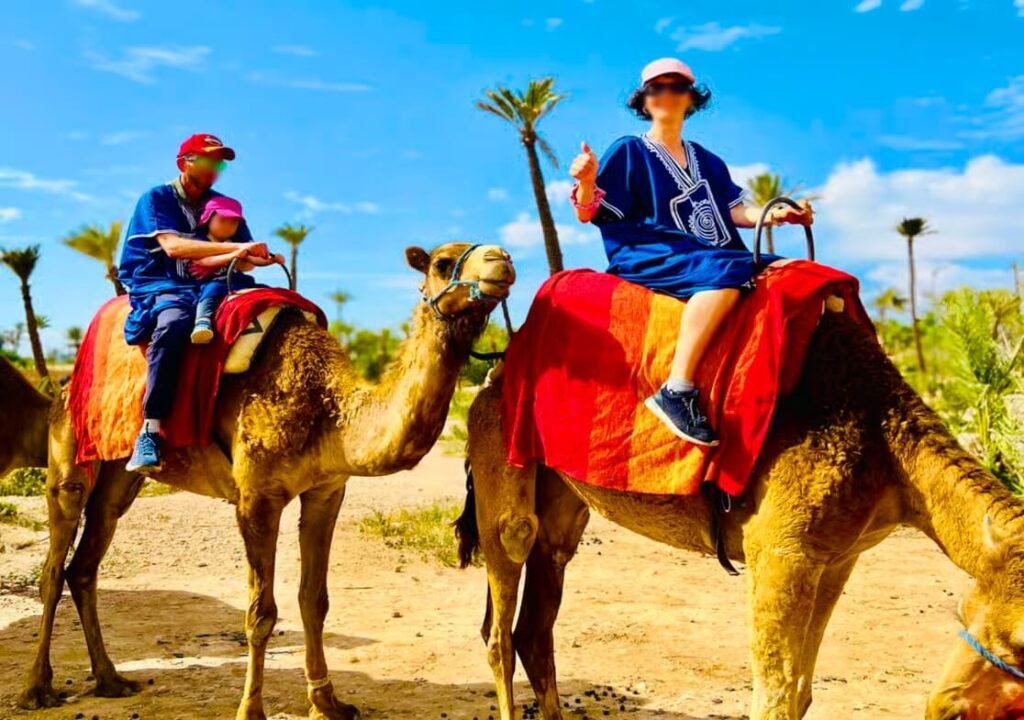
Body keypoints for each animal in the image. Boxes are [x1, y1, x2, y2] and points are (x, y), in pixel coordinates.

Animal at [15, 242, 515, 720]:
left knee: (85, 561)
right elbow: (260, 612)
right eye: (443, 262)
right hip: (69, 453)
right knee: (54, 563)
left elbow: (314, 600)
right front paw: (251, 709)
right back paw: (36, 689)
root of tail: (65, 381)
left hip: (120, 477)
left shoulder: (326, 491)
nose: (503, 261)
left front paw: (327, 702)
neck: (328, 407)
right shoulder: (257, 497)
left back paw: (109, 680)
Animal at [457, 307, 1024, 720]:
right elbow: (773, 698)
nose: (943, 709)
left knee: (537, 613)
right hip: (500, 452)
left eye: (960, 608)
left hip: (563, 501)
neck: (885, 445)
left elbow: (800, 692)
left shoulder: (838, 557)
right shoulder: (779, 549)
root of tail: (491, 374)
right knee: (502, 610)